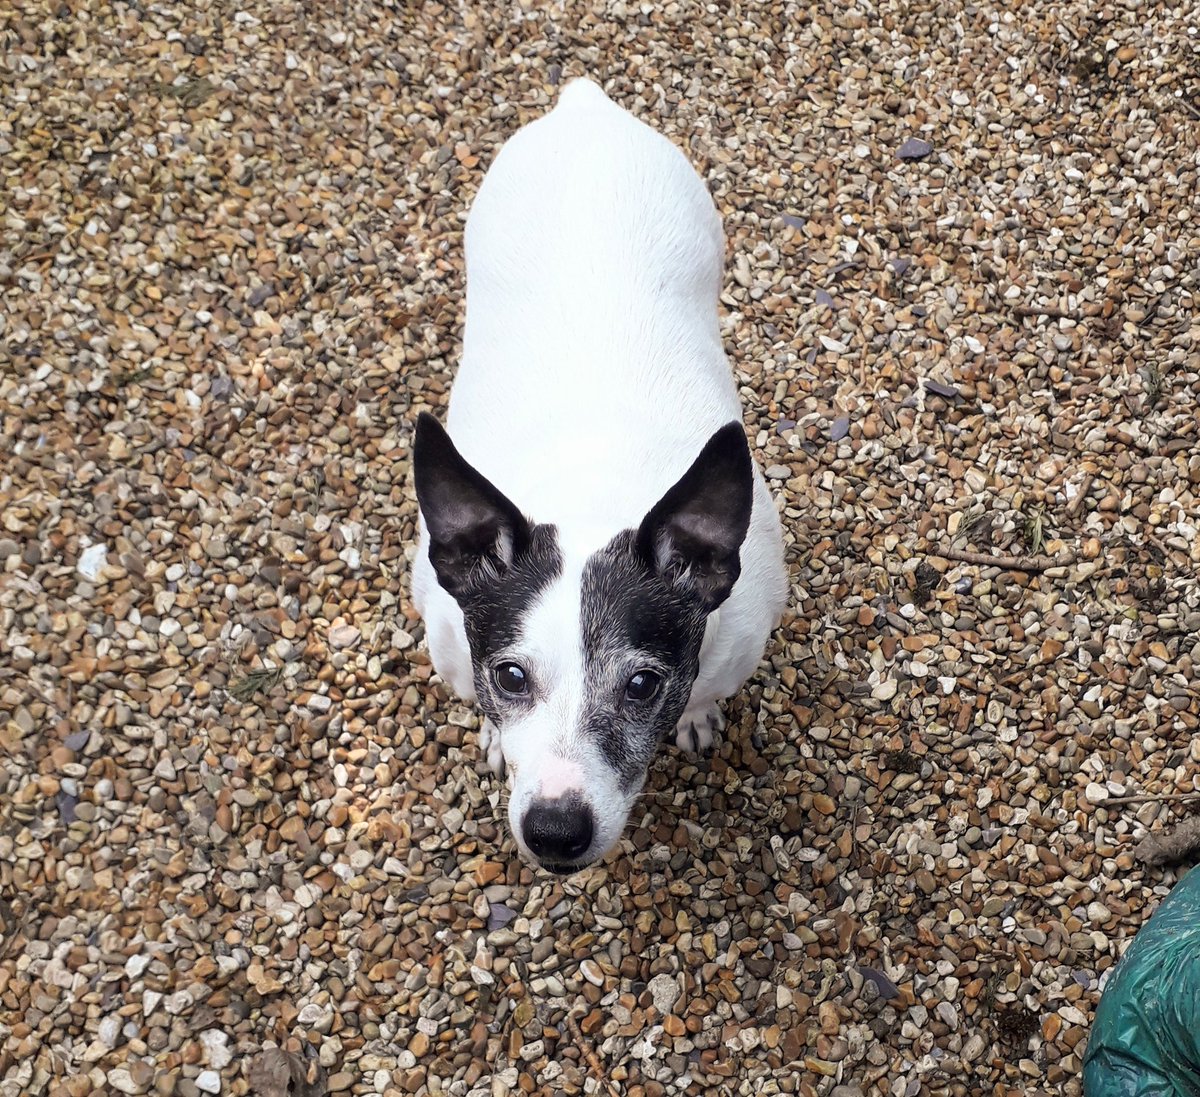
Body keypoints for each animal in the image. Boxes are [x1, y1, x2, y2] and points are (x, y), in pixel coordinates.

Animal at [412, 79, 787, 873]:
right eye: (510, 676)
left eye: (642, 684)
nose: (556, 831)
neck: (591, 489)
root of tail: (583, 104)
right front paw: (493, 733)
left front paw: (696, 716)